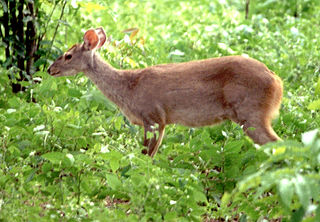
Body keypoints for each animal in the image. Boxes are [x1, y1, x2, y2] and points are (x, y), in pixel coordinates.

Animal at [47, 27, 282, 158]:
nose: (50, 69)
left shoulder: (151, 116)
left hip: (250, 112)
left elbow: (145, 154)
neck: (128, 88)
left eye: (67, 55)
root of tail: (277, 82)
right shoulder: (162, 121)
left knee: (278, 144)